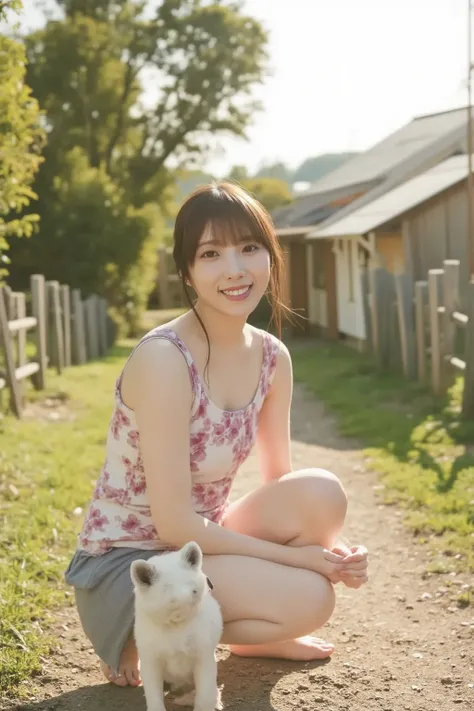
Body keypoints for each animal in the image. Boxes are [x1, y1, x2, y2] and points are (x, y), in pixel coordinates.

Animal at [131, 544, 225, 708]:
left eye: (190, 584)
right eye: (167, 587)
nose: (190, 594)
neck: (177, 625)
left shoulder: (204, 658)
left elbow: (205, 696)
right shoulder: (151, 663)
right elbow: (154, 698)